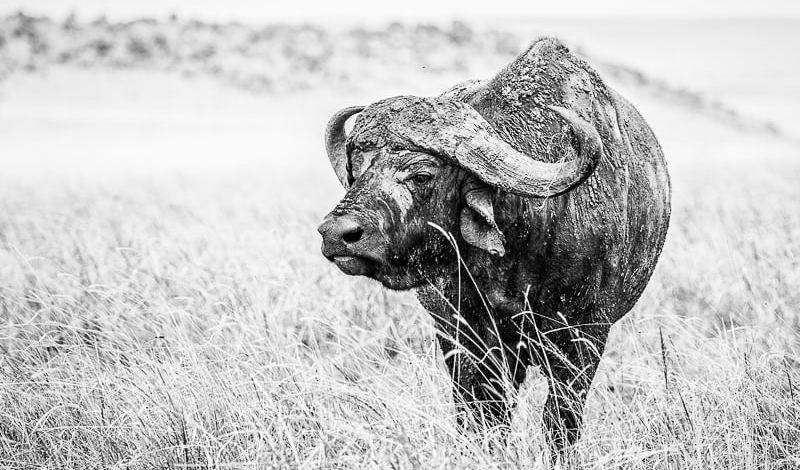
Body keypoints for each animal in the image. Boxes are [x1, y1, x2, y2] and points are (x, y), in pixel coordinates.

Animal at [317, 38, 671, 455]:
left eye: (421, 175)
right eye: (356, 169)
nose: (336, 233)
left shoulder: (586, 336)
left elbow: (560, 421)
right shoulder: (464, 338)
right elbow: (482, 414)